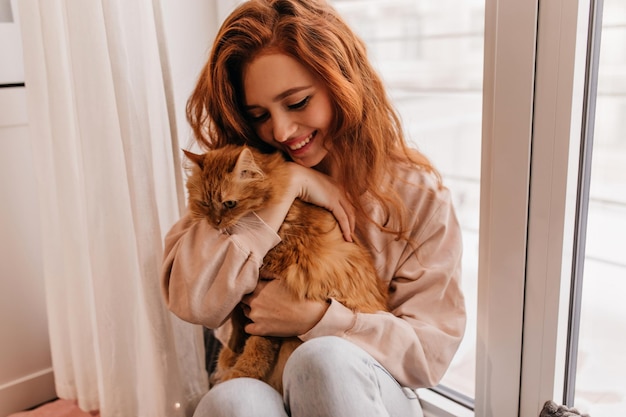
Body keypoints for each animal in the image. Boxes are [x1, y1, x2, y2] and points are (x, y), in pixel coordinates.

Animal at [183, 145, 386, 392]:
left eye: (229, 203)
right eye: (204, 204)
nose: (215, 223)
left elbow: (255, 344)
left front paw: (238, 373)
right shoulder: (246, 290)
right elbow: (236, 321)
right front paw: (229, 355)